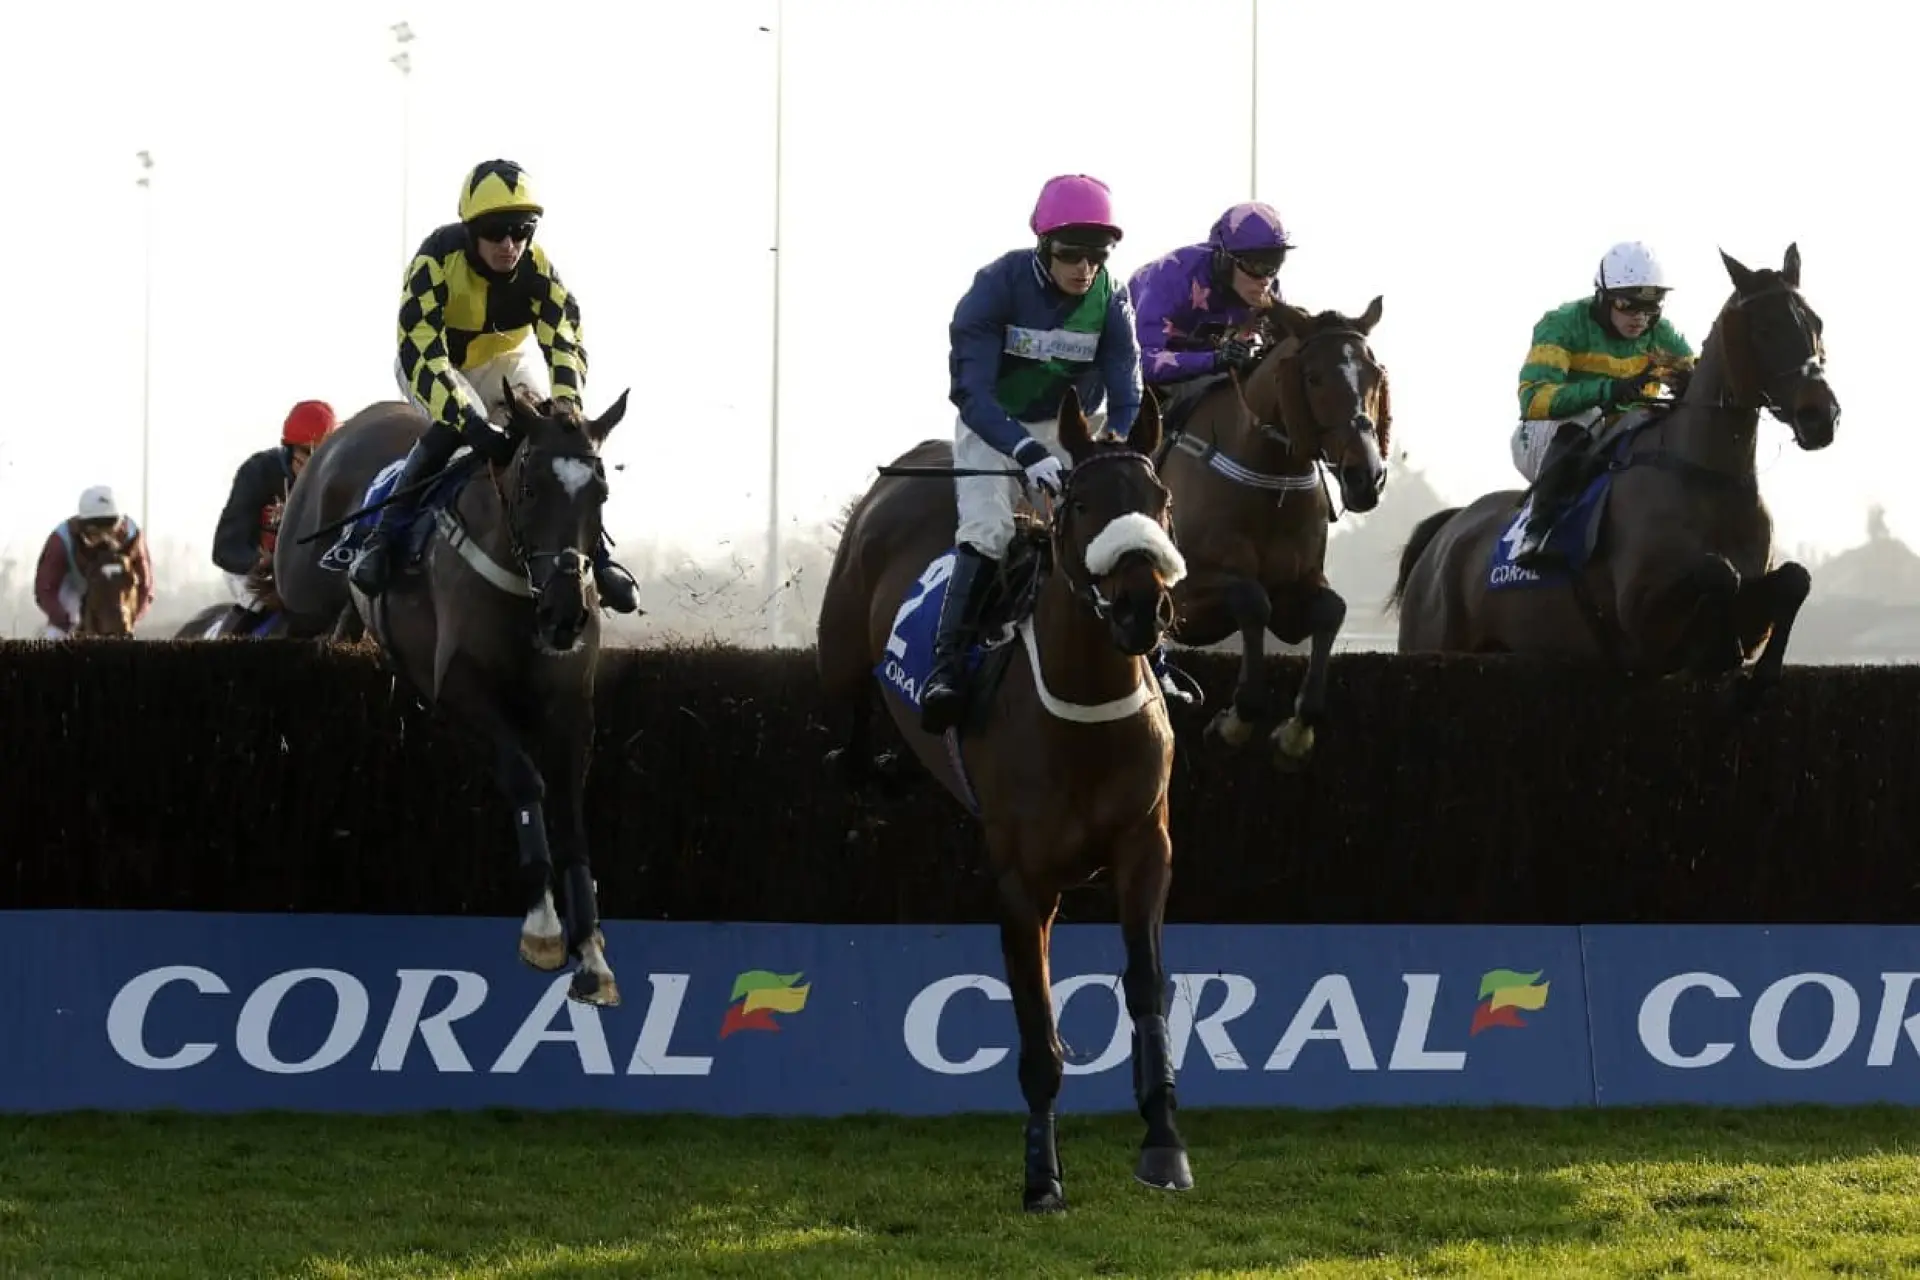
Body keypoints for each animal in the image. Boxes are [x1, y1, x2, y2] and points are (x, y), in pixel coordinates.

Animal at [276, 385, 629, 1005]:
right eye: (530, 490)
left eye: (601, 494)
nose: (566, 614)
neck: (522, 590)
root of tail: (358, 420)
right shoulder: (460, 686)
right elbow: (524, 780)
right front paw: (543, 929)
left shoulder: (571, 705)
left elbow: (570, 812)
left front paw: (591, 953)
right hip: (296, 575)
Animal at [814, 385, 1190, 1220]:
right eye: (1080, 504)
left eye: (1161, 501)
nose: (1141, 611)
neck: (1084, 714)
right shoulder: (1023, 883)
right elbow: (1037, 1025)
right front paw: (1042, 1175)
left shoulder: (1146, 849)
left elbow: (1148, 986)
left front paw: (1163, 1140)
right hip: (842, 652)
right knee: (849, 742)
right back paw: (878, 769)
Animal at [1144, 297, 1390, 771]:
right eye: (1313, 377)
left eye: (1374, 374)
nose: (1366, 476)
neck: (1269, 481)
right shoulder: (1184, 598)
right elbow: (1250, 597)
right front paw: (1234, 721)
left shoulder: (1295, 591)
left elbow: (1330, 609)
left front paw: (1295, 732)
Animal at [1390, 242, 1835, 710]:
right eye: (1765, 327)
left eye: (1817, 323)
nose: (1821, 416)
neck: (1708, 478)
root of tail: (1446, 531)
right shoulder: (1641, 623)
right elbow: (1718, 574)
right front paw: (1720, 648)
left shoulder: (1752, 613)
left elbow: (1795, 579)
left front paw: (1760, 673)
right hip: (1430, 642)